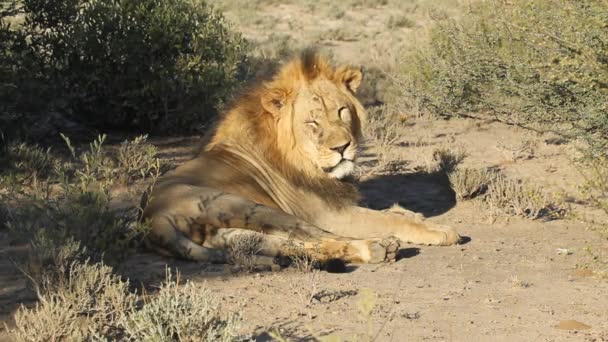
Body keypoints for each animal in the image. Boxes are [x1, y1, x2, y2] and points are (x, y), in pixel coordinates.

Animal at [140, 50, 458, 268]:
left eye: (341, 111)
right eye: (312, 123)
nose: (343, 147)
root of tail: (151, 217)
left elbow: (391, 212)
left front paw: (412, 214)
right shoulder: (330, 213)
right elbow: (383, 218)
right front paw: (437, 229)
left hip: (229, 230)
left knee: (287, 243)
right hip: (247, 206)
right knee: (319, 236)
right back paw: (378, 247)